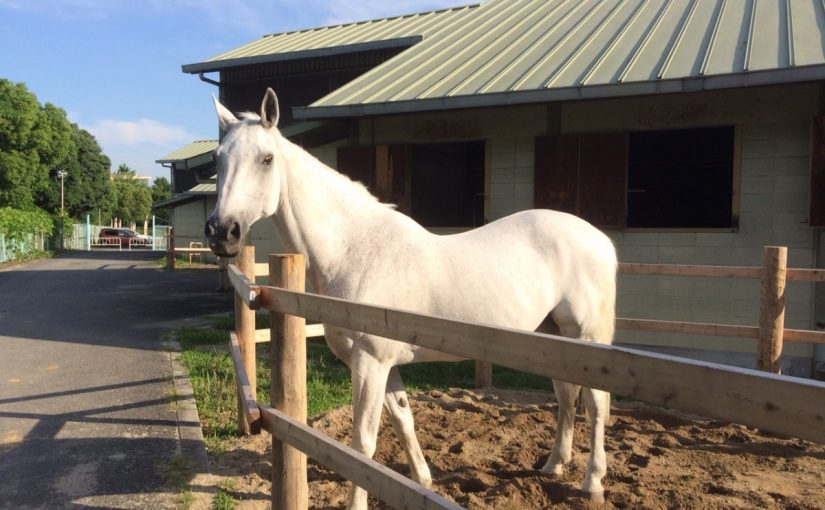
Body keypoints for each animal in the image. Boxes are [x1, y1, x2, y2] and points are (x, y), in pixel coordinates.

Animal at [206, 88, 617, 509]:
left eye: (266, 159)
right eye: (218, 159)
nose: (223, 232)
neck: (356, 249)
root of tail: (601, 240)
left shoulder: (371, 363)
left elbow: (363, 444)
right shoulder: (386, 365)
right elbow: (404, 419)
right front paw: (423, 480)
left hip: (588, 337)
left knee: (595, 403)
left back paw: (592, 483)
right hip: (555, 336)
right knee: (566, 395)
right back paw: (554, 465)